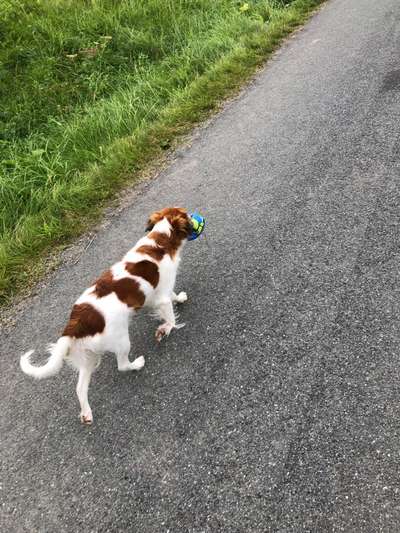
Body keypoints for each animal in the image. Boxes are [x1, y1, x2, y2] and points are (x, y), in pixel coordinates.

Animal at [19, 207, 192, 424]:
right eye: (186, 214)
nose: (195, 219)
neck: (161, 239)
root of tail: (75, 324)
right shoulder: (162, 294)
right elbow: (170, 313)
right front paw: (167, 327)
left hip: (89, 357)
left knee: (80, 388)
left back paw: (86, 413)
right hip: (121, 341)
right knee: (122, 365)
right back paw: (137, 364)